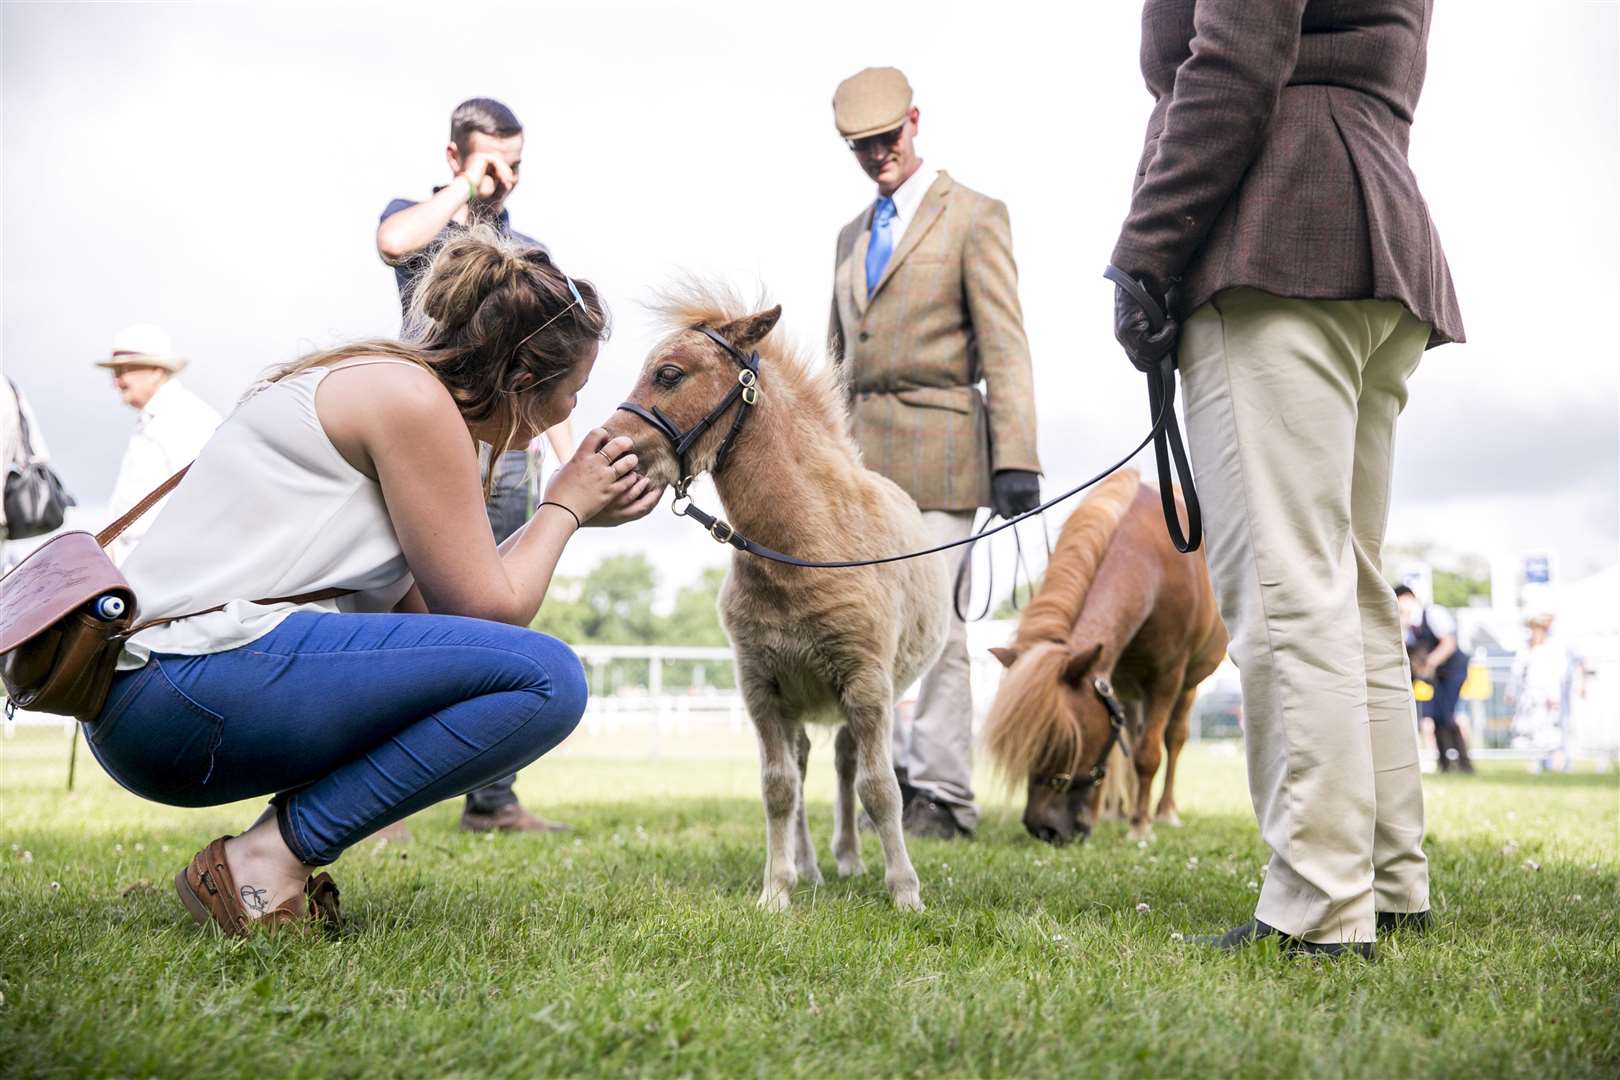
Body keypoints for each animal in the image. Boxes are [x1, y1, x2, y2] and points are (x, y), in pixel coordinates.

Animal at [602, 289, 946, 913]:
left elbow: (880, 788)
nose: (607, 448)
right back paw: (810, 867)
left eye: (669, 373)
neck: (803, 553)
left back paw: (850, 858)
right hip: (799, 701)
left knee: (846, 763)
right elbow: (779, 786)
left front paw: (905, 891)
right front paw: (776, 890)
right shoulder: (761, 688)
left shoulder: (868, 683)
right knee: (808, 763)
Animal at [978, 469, 1218, 848]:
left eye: (1065, 742)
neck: (1152, 563)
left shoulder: (1166, 677)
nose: (1042, 829)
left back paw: (1163, 811)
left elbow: (1148, 755)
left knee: (1174, 739)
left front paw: (1141, 826)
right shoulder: (1111, 675)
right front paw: (1098, 817)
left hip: (1188, 685)